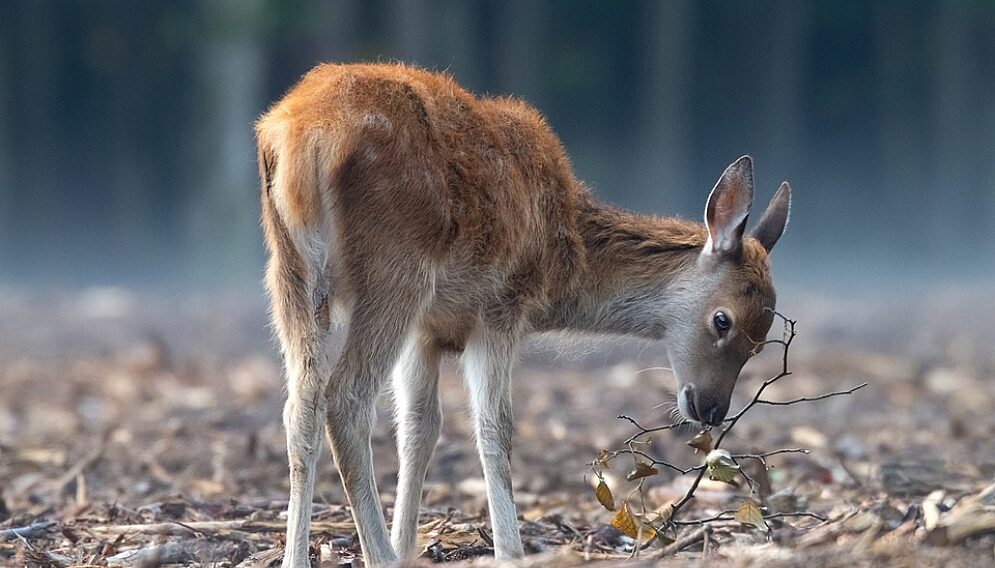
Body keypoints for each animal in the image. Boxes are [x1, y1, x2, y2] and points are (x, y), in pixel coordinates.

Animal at [256, 63, 791, 567]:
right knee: (346, 398)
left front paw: (407, 545)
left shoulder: (426, 330)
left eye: (763, 340)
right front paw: (507, 551)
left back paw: (298, 558)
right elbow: (495, 428)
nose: (712, 409)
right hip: (396, 271)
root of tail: (303, 137)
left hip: (290, 274)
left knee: (301, 406)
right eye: (723, 320)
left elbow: (419, 428)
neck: (564, 260)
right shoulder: (500, 307)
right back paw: (379, 557)